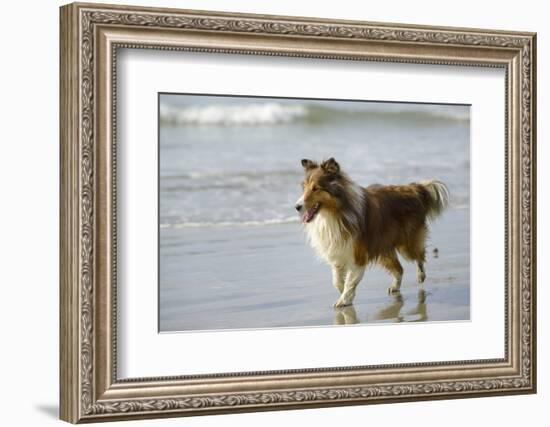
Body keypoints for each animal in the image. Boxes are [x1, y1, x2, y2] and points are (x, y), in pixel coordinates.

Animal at [296, 157, 450, 308]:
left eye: (316, 188)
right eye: (304, 187)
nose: (297, 206)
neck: (335, 213)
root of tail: (414, 188)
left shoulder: (358, 255)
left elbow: (350, 281)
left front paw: (344, 300)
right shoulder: (337, 252)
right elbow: (337, 280)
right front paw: (342, 292)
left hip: (406, 245)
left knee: (419, 256)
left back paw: (420, 276)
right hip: (384, 249)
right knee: (399, 269)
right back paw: (395, 286)